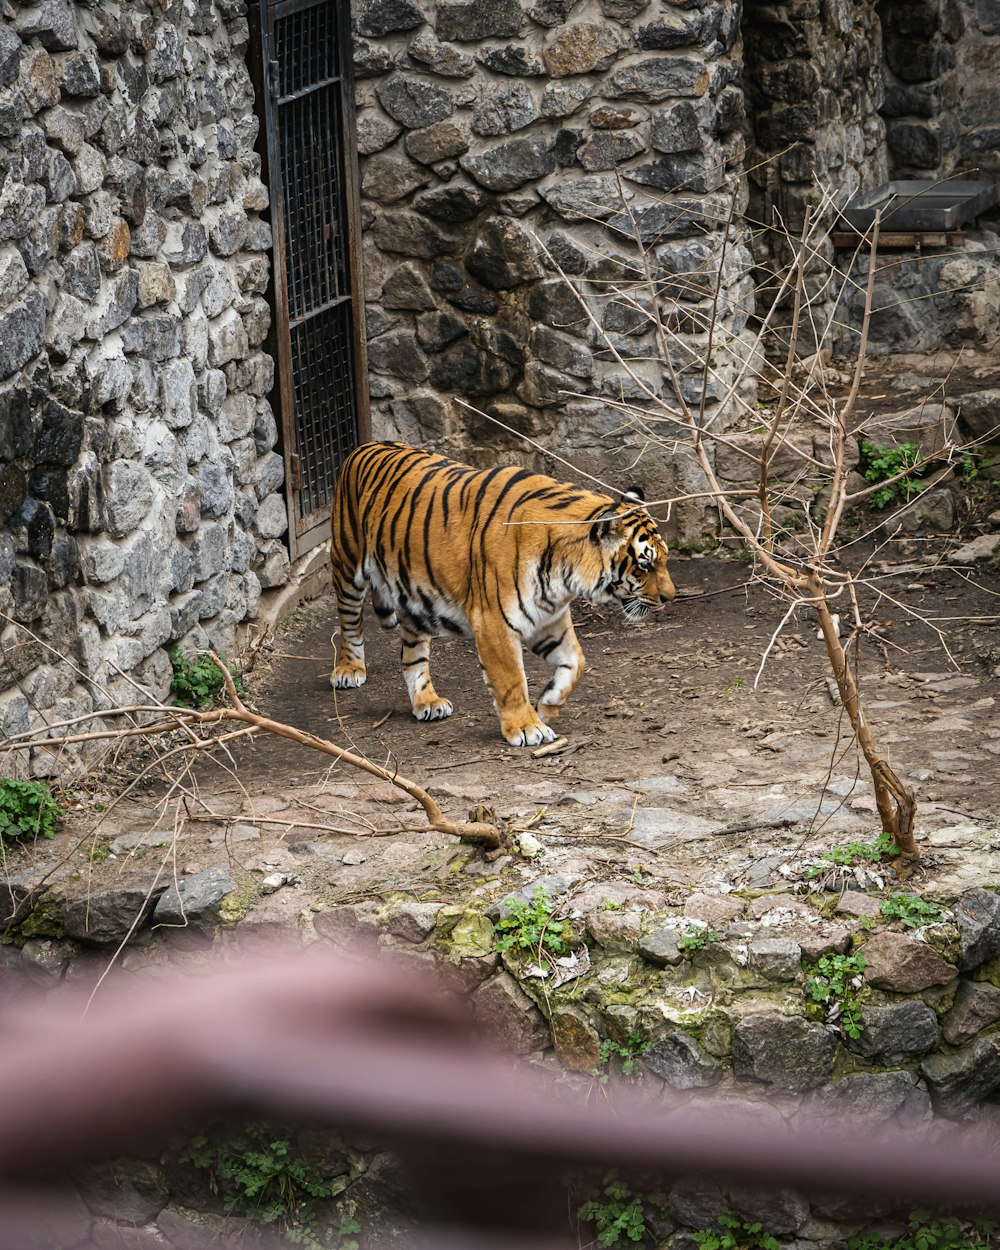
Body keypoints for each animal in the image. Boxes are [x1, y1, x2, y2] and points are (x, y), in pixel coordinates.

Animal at [325, 442, 670, 745]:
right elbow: (511, 680)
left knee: (413, 656)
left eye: (663, 558)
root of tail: (362, 446)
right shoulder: (494, 622)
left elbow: (577, 662)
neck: (566, 574)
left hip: (414, 597)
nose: (670, 597)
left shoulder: (549, 617)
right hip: (348, 566)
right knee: (349, 624)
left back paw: (428, 702)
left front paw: (547, 705)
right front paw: (527, 727)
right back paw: (349, 670)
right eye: (645, 564)